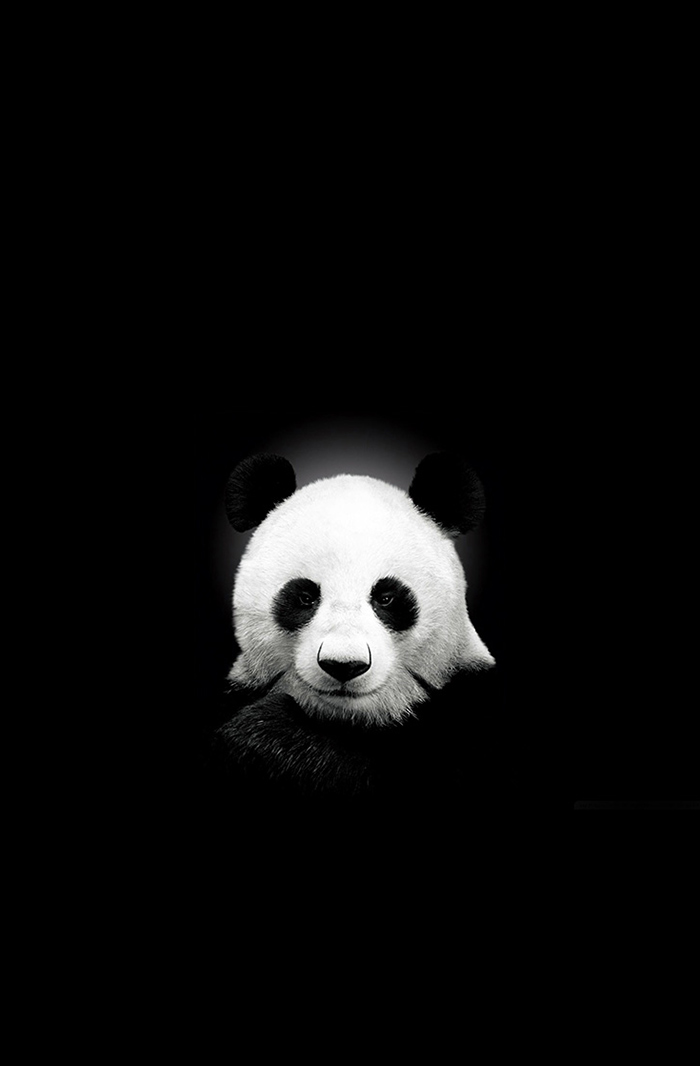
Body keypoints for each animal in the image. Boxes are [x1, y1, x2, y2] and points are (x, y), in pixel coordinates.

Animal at [207, 452, 499, 811]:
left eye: (386, 597)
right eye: (305, 597)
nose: (343, 665)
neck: (348, 721)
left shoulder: (469, 711)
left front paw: (264, 735)